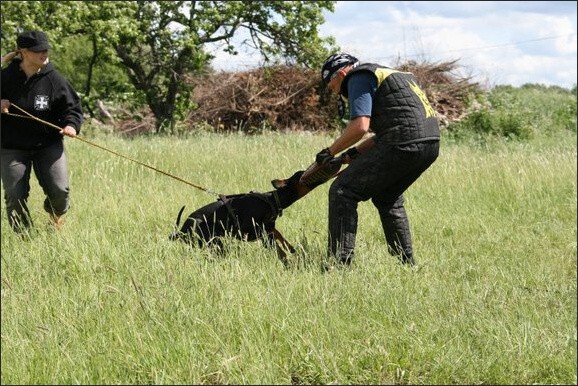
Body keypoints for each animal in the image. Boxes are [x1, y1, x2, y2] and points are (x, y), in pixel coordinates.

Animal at [168, 168, 332, 266]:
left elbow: (278, 235)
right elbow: (278, 249)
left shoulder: (268, 227)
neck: (272, 199)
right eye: (302, 174)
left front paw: (290, 248)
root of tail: (181, 230)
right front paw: (288, 261)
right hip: (212, 242)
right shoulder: (256, 232)